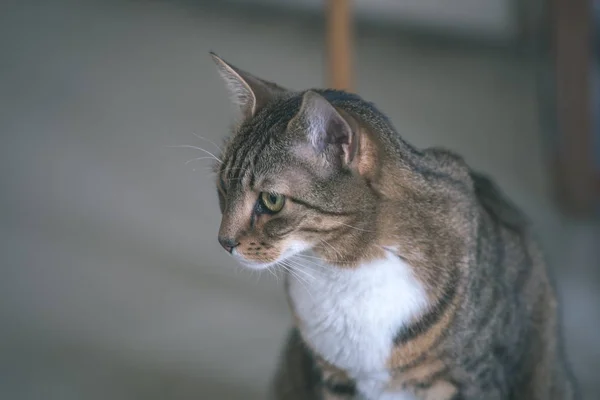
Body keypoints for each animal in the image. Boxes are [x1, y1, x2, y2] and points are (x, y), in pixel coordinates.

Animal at [210, 53, 576, 400]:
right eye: (224, 186)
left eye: (272, 200)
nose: (224, 241)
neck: (343, 269)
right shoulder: (335, 377)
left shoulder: (470, 379)